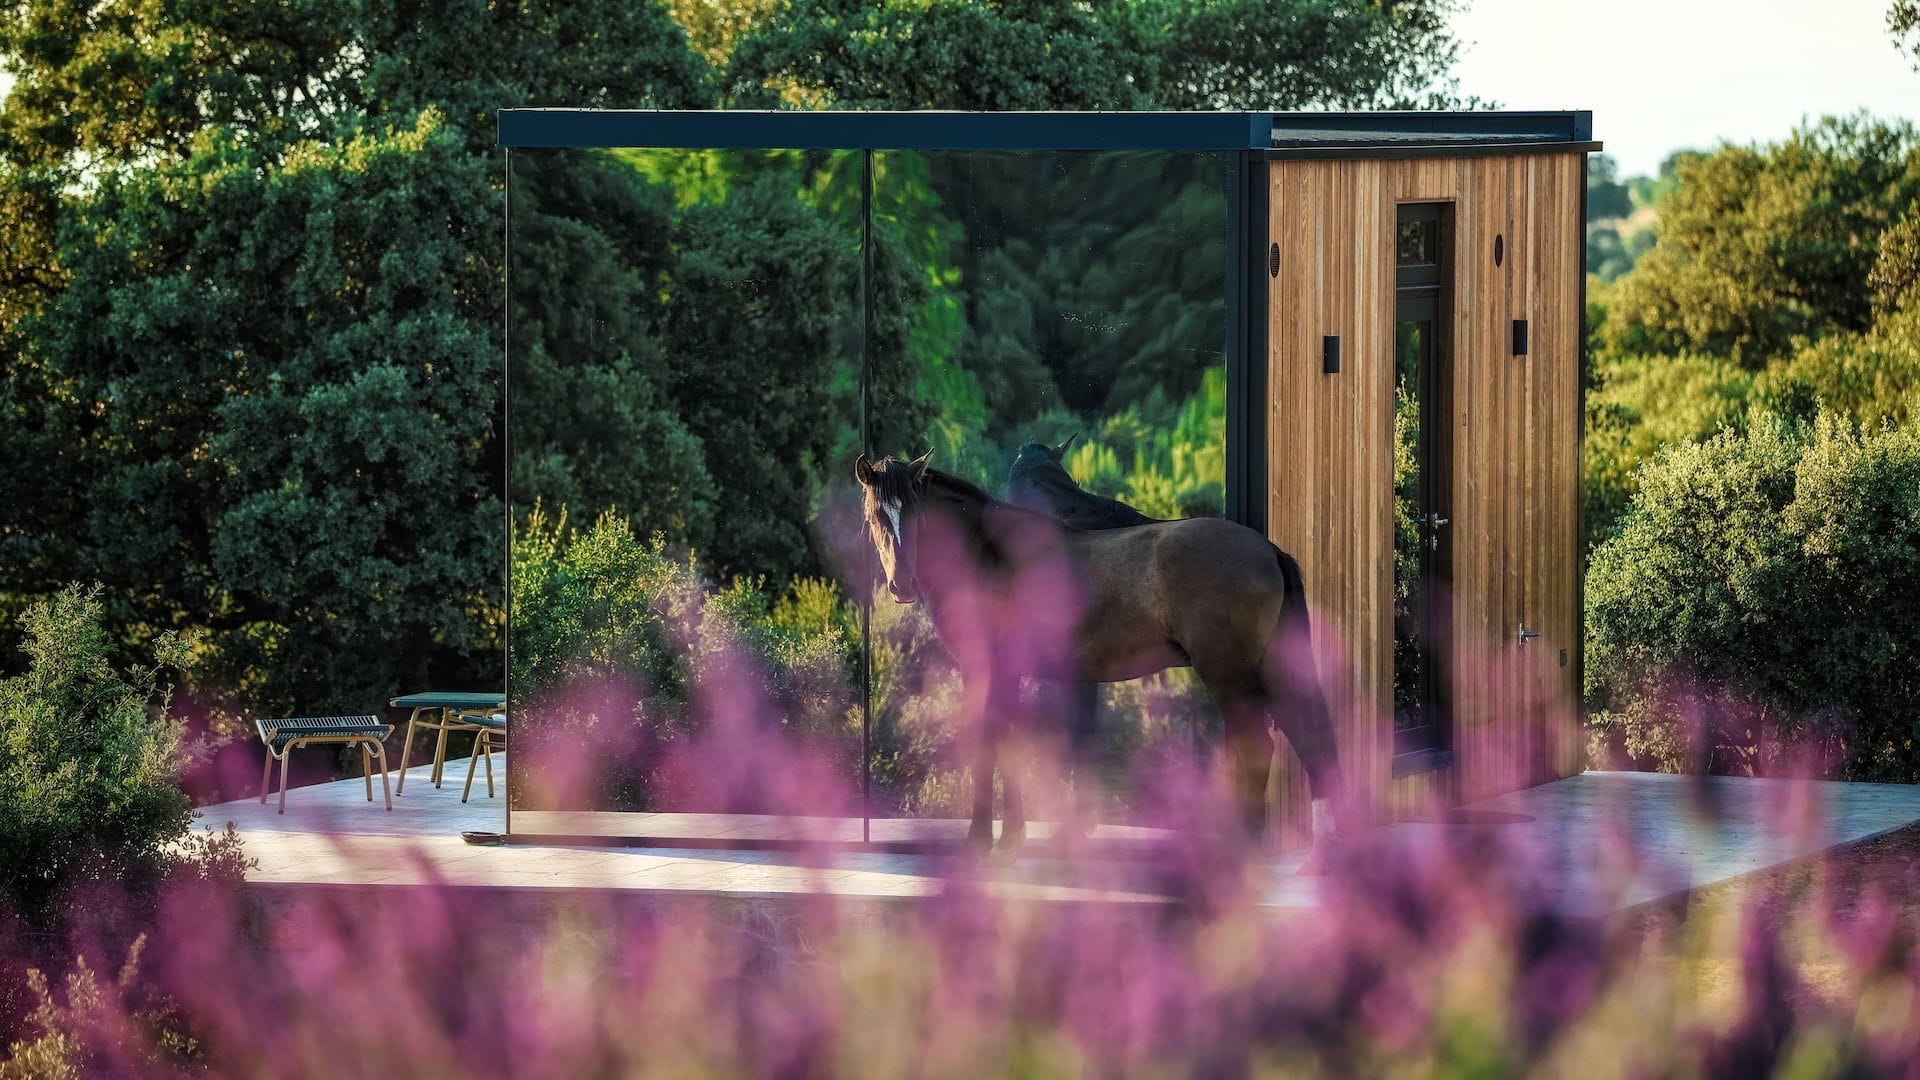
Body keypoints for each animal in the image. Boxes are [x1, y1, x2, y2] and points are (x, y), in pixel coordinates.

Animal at [854, 451, 1344, 862]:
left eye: (913, 514)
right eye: (875, 515)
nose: (901, 585)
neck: (990, 553)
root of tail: (1269, 550)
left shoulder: (985, 670)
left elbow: (988, 743)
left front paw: (980, 840)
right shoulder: (1009, 674)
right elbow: (1010, 743)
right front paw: (1012, 837)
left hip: (1229, 676)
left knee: (1257, 747)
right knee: (1307, 737)